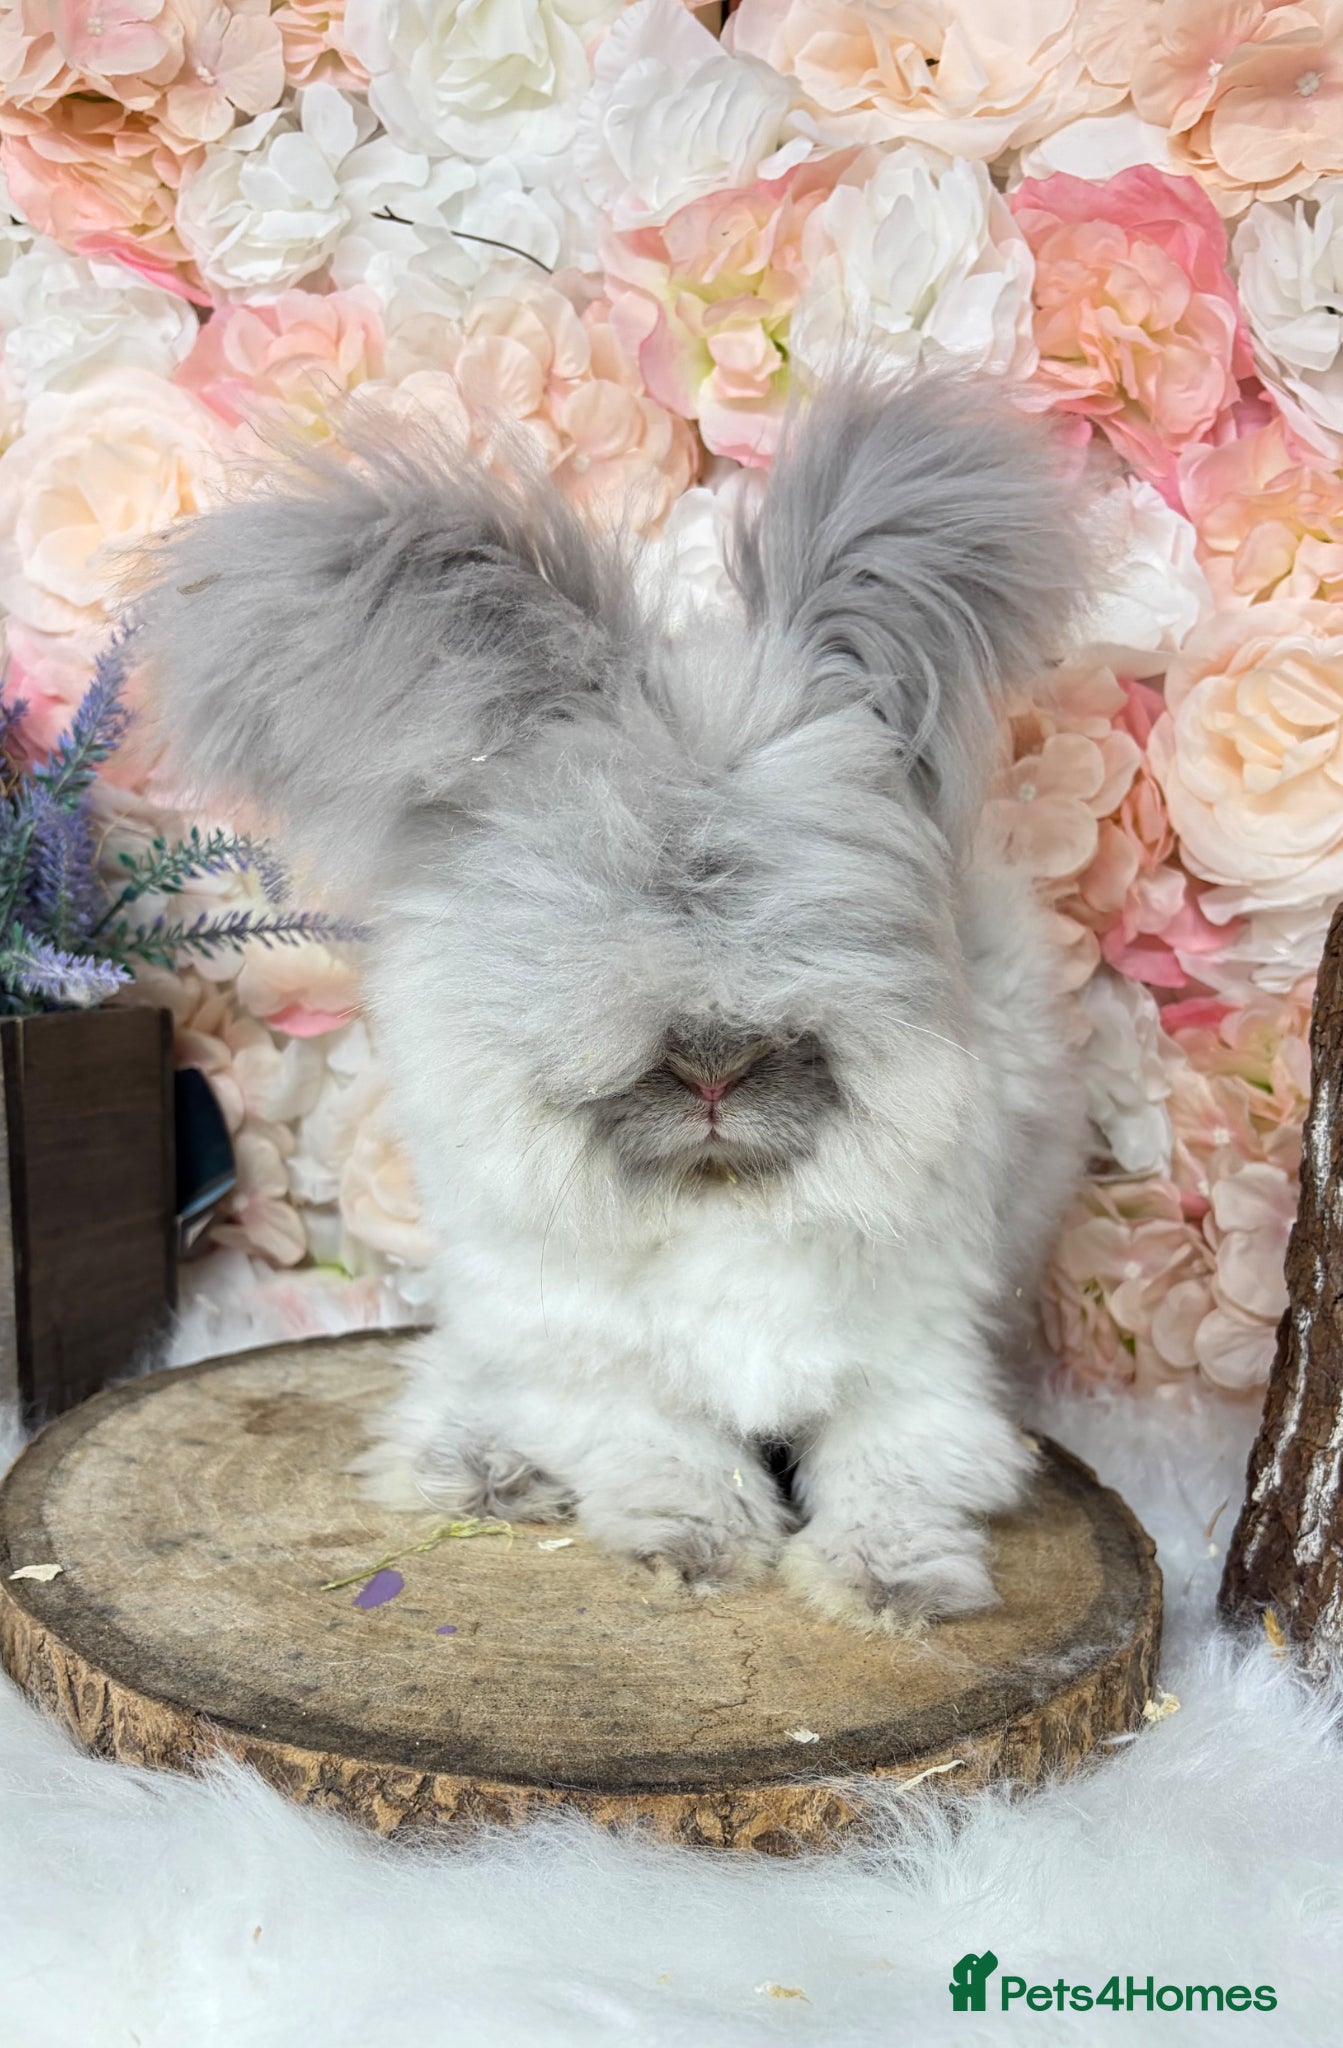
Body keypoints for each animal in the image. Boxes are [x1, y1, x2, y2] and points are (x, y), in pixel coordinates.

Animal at [135, 372, 1089, 1630]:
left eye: (841, 907)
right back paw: (474, 1469)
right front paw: (691, 1552)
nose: (713, 1068)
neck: (719, 1196)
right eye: (579, 896)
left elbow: (895, 1467)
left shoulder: (916, 1358)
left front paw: (894, 1591)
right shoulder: (599, 1360)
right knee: (463, 1376)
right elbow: (667, 1447)